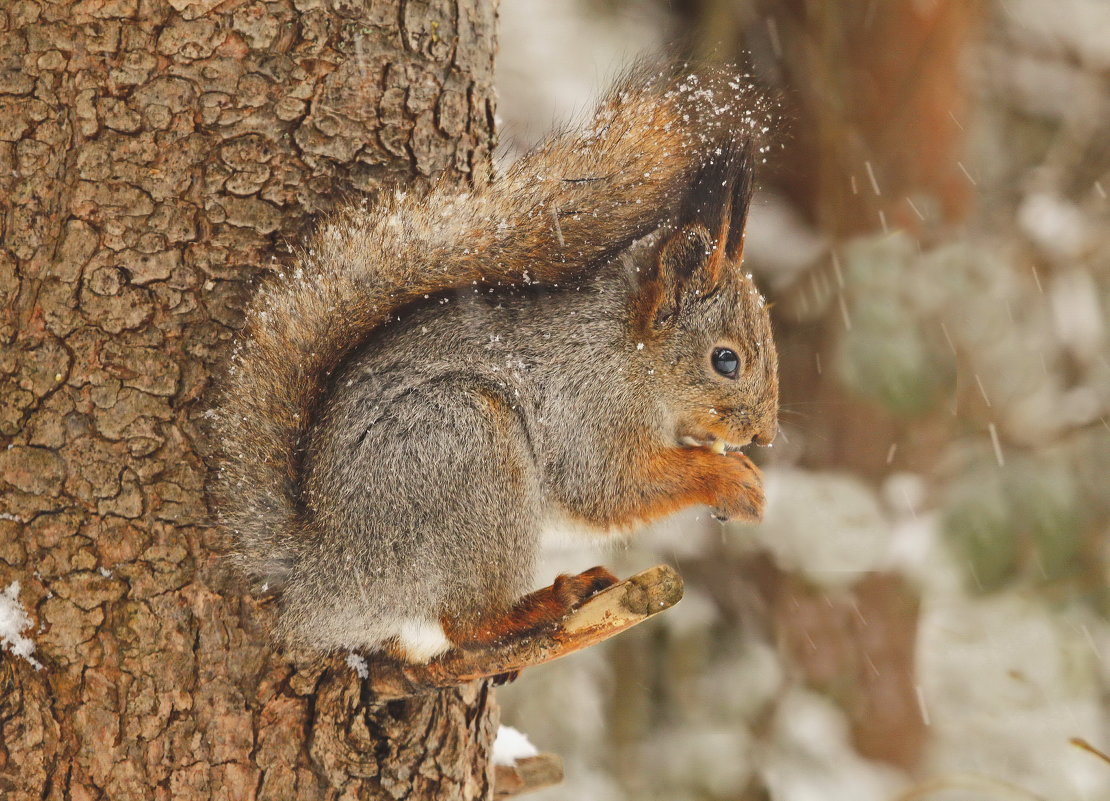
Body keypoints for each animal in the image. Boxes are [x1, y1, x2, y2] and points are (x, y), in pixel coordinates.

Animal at [212, 65, 777, 656]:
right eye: (726, 361)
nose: (764, 435)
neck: (630, 351)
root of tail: (322, 576)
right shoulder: (591, 407)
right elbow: (610, 489)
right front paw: (731, 480)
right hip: (470, 451)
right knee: (467, 624)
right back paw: (547, 602)